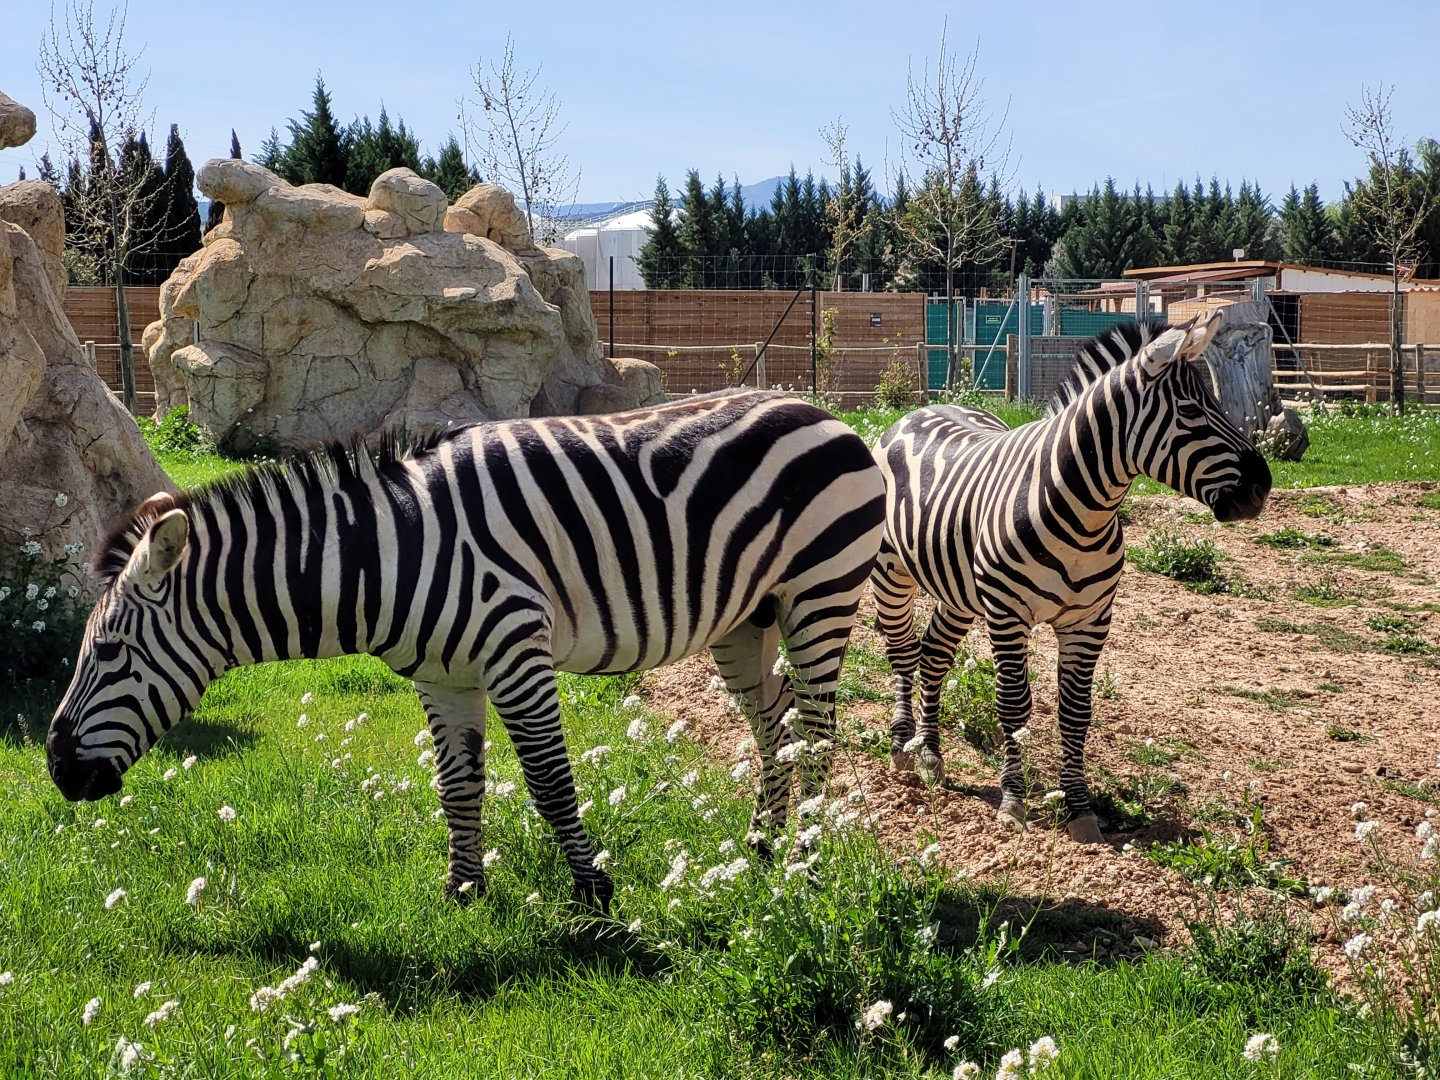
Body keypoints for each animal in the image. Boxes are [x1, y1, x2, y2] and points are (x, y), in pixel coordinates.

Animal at [45, 390, 886, 909]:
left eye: (109, 653)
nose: (55, 768)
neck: (385, 557)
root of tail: (824, 414)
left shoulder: (517, 653)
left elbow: (550, 783)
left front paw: (593, 892)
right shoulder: (444, 677)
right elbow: (457, 787)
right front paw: (464, 891)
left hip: (821, 591)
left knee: (818, 732)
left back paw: (807, 860)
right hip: (747, 615)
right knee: (775, 724)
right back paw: (765, 845)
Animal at [871, 311, 1271, 842]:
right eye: (1190, 410)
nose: (1263, 486)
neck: (1086, 513)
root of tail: (920, 409)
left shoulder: (1090, 621)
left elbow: (1076, 713)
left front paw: (1080, 811)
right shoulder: (1007, 615)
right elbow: (1014, 705)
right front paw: (1013, 803)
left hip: (957, 589)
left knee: (934, 655)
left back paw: (931, 754)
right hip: (891, 572)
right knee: (902, 652)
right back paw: (901, 748)